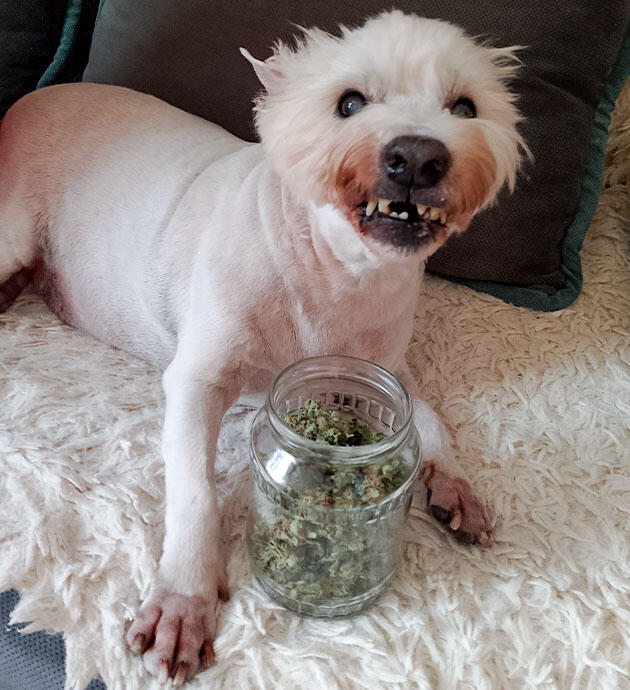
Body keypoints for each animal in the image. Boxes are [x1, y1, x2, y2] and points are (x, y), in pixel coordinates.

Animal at [0, 10, 525, 685]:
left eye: (464, 106)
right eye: (349, 102)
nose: (417, 157)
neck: (338, 273)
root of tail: (33, 98)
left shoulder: (386, 366)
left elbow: (427, 415)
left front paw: (454, 483)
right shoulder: (197, 379)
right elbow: (195, 489)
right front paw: (183, 601)